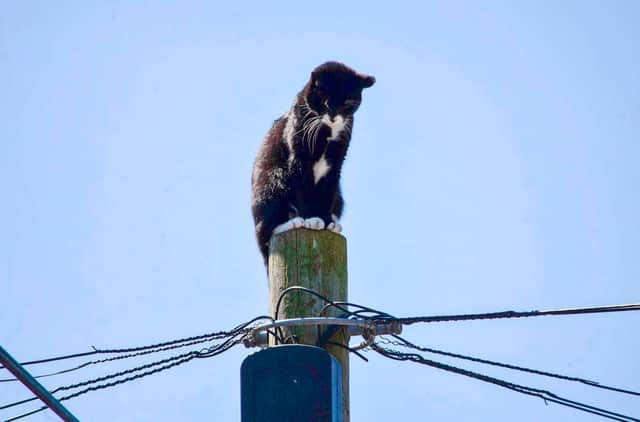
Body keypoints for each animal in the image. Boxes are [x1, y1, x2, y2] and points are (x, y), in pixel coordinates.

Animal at [251, 61, 376, 266]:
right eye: (325, 101)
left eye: (347, 103)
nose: (333, 116)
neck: (327, 131)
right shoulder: (298, 157)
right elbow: (302, 188)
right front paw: (311, 218)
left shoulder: (337, 161)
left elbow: (327, 190)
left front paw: (326, 221)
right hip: (271, 179)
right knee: (265, 233)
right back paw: (292, 222)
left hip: (339, 197)